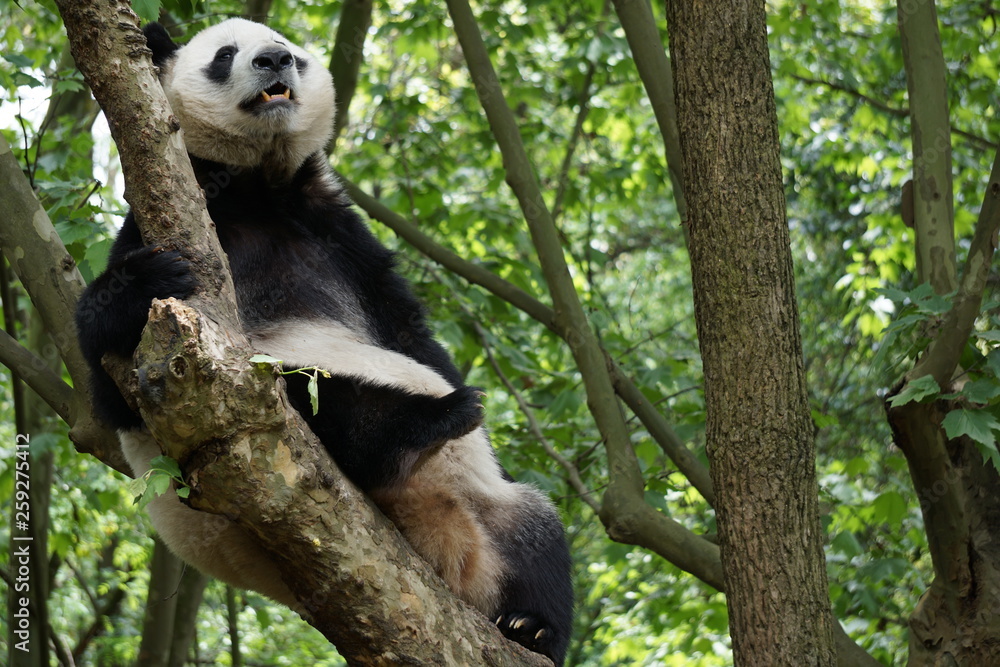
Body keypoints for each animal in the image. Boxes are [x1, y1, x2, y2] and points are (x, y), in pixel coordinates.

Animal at [75, 18, 572, 665]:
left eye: (291, 49)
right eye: (225, 54)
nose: (273, 59)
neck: (257, 189)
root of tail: (445, 548)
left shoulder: (338, 233)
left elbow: (410, 332)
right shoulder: (166, 223)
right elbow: (111, 376)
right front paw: (146, 284)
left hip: (496, 510)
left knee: (540, 533)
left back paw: (530, 627)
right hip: (265, 408)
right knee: (322, 407)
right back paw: (422, 424)